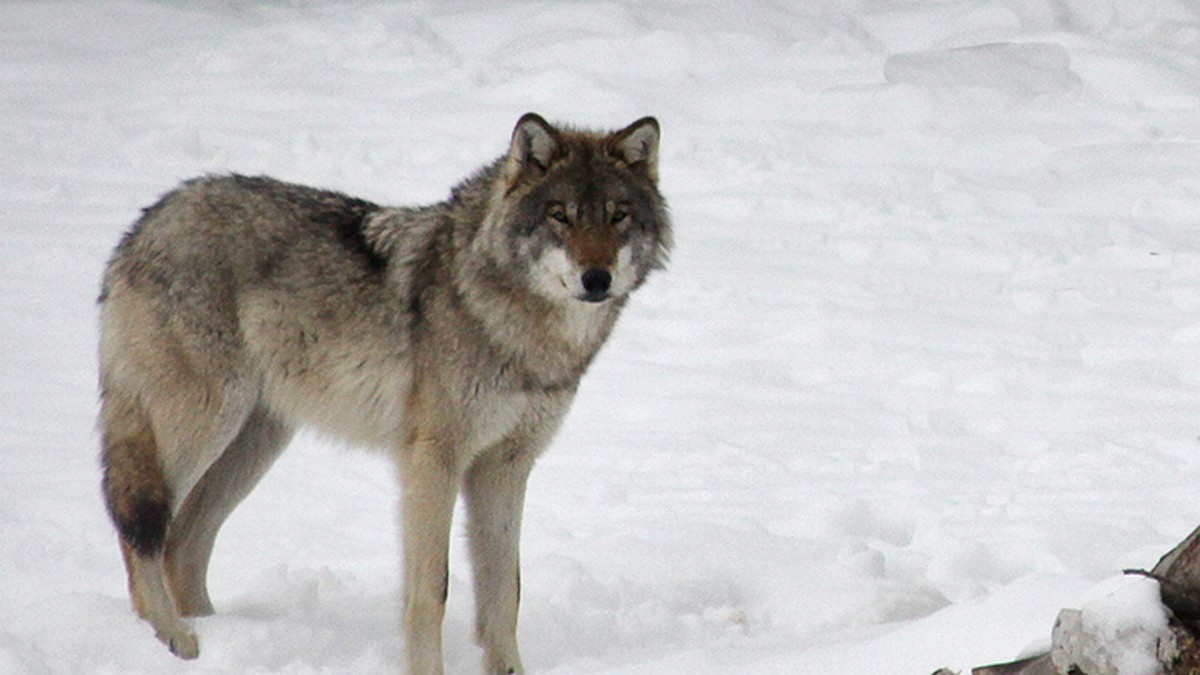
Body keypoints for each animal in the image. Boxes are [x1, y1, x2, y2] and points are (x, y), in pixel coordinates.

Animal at [97, 112, 672, 667]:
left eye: (618, 215)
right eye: (561, 216)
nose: (596, 279)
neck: (512, 325)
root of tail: (146, 220)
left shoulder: (506, 466)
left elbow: (505, 593)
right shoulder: (433, 461)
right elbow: (432, 592)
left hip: (254, 445)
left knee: (182, 543)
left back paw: (217, 635)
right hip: (205, 425)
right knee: (139, 528)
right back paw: (175, 638)